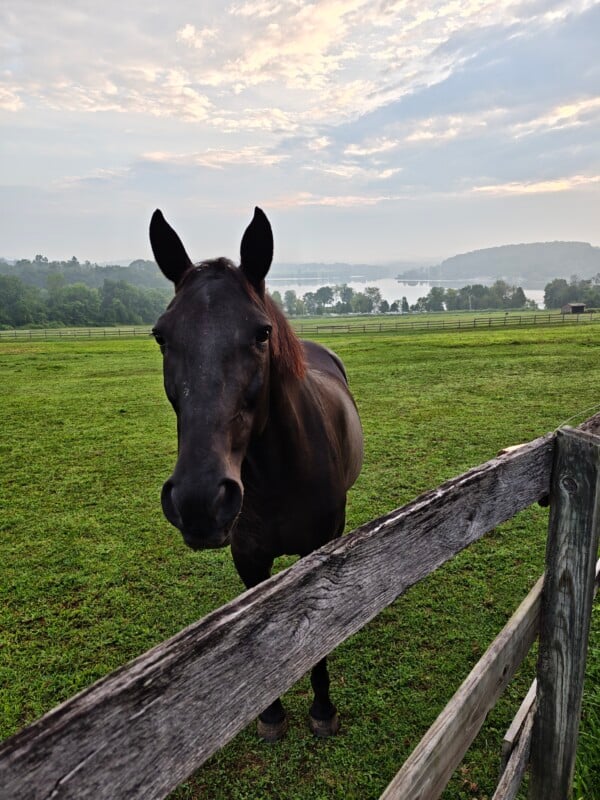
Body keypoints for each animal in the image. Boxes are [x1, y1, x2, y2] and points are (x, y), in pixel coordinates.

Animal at [149, 207, 363, 740]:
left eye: (261, 333)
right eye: (161, 335)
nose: (199, 501)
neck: (278, 476)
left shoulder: (317, 553)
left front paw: (322, 710)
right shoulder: (248, 558)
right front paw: (269, 714)